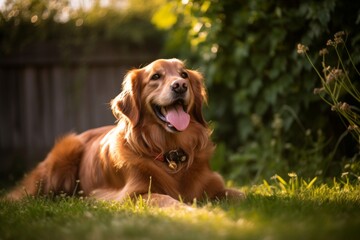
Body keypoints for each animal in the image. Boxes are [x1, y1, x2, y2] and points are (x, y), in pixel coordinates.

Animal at [7, 58, 245, 206]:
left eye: (184, 74)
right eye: (156, 77)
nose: (180, 85)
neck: (171, 153)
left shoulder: (215, 184)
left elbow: (241, 194)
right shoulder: (132, 194)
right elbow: (166, 199)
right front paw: (189, 209)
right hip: (64, 154)